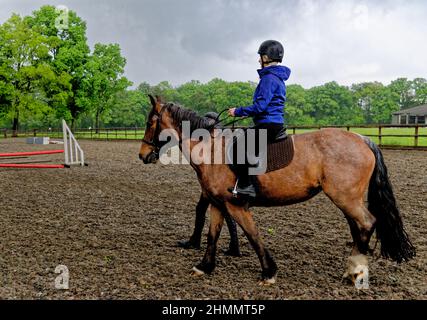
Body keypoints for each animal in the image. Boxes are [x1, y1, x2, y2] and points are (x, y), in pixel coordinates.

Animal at [140, 95, 414, 284]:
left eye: (150, 122)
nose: (143, 155)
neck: (212, 150)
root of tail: (362, 138)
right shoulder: (218, 204)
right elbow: (212, 234)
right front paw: (205, 266)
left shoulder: (235, 205)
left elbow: (253, 235)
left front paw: (268, 272)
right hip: (347, 199)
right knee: (358, 227)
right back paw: (354, 268)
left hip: (345, 197)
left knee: (367, 223)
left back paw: (352, 273)